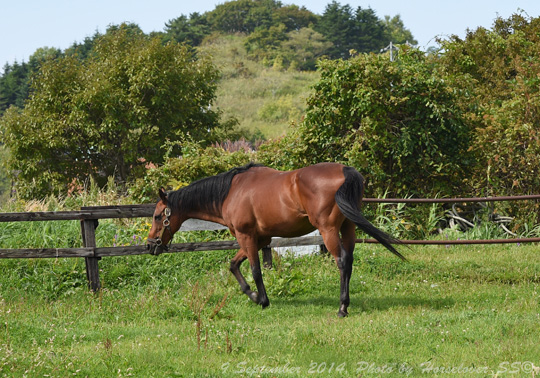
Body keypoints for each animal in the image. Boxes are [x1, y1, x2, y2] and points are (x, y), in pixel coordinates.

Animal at [146, 162, 402, 316]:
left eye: (158, 216)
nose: (150, 245)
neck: (230, 191)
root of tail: (345, 170)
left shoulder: (247, 236)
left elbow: (255, 270)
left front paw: (262, 299)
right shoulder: (258, 239)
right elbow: (234, 265)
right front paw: (251, 294)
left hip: (329, 230)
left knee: (341, 262)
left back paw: (342, 307)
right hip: (348, 228)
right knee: (348, 261)